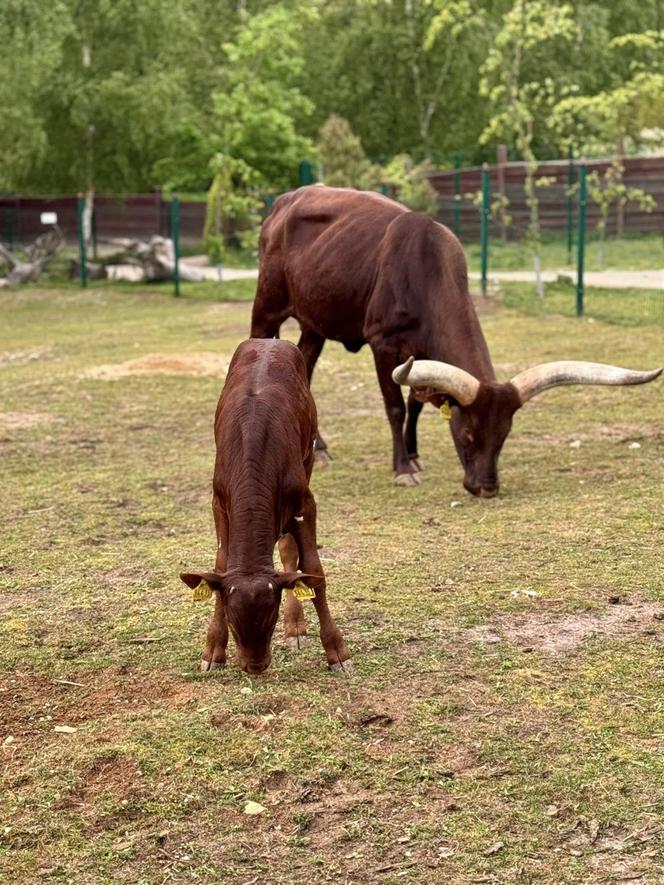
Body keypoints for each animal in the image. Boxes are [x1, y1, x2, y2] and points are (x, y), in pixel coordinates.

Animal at [179, 338, 350, 676]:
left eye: (270, 621)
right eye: (234, 623)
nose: (255, 666)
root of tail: (269, 340)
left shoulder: (304, 502)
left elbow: (313, 571)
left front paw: (337, 651)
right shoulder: (219, 503)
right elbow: (220, 564)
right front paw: (213, 649)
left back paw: (296, 626)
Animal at [252, 185, 660, 498]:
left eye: (505, 435)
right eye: (467, 432)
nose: (486, 488)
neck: (423, 269)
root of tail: (285, 200)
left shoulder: (420, 353)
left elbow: (417, 404)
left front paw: (415, 455)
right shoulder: (382, 344)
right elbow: (395, 406)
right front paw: (403, 468)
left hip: (315, 321)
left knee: (304, 364)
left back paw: (319, 448)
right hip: (267, 307)